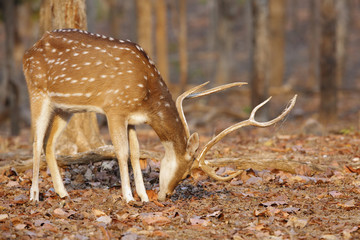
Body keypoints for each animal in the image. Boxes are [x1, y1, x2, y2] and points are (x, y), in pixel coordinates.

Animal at [23, 29, 298, 203]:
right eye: (187, 174)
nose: (165, 196)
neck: (147, 94)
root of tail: (28, 52)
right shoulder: (114, 107)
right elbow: (121, 152)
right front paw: (128, 197)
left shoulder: (132, 119)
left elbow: (136, 154)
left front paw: (144, 197)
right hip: (37, 91)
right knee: (35, 141)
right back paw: (35, 195)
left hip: (65, 108)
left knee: (49, 144)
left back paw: (62, 193)